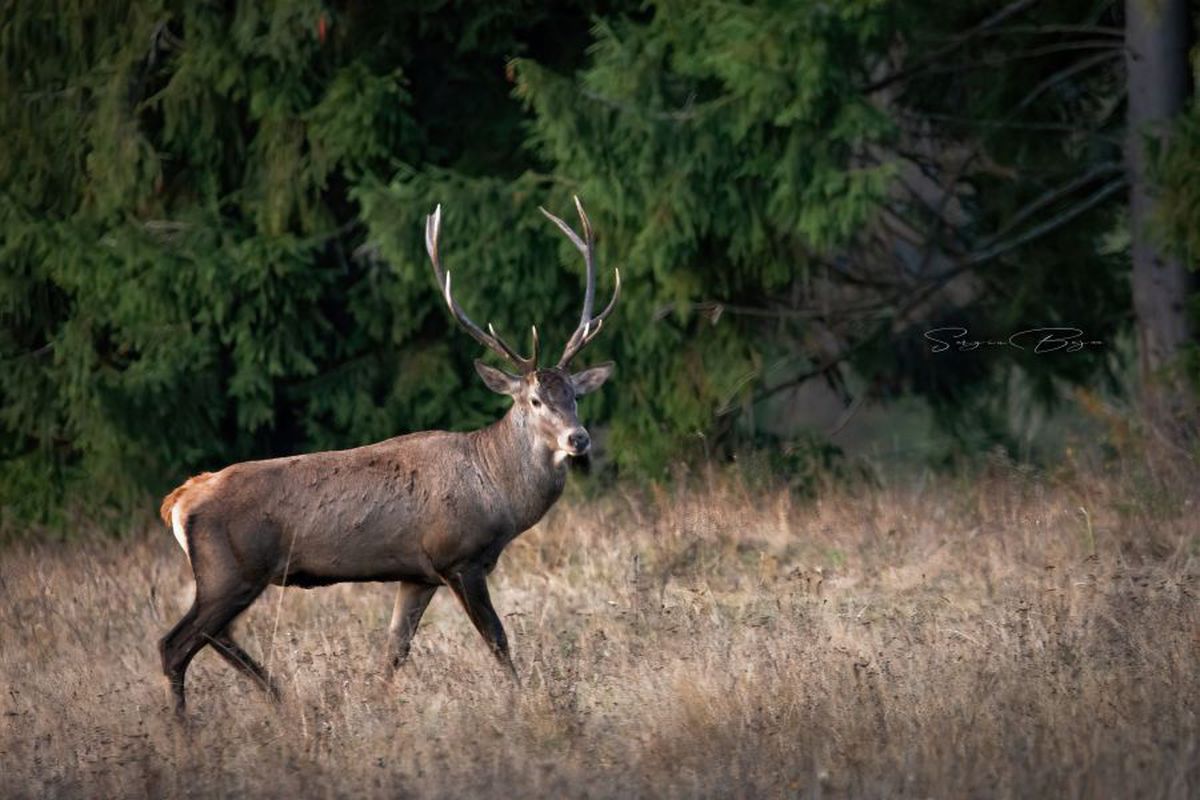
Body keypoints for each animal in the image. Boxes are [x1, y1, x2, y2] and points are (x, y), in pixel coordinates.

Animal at [157, 199, 619, 714]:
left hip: (233, 576)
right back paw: (189, 724)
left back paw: (279, 698)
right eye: (536, 400)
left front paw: (377, 705)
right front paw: (525, 701)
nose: (579, 439)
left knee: (217, 638)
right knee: (175, 644)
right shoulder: (458, 557)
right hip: (229, 571)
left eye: (575, 395)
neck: (497, 493)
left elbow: (395, 650)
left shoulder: (418, 574)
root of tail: (177, 500)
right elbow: (498, 640)